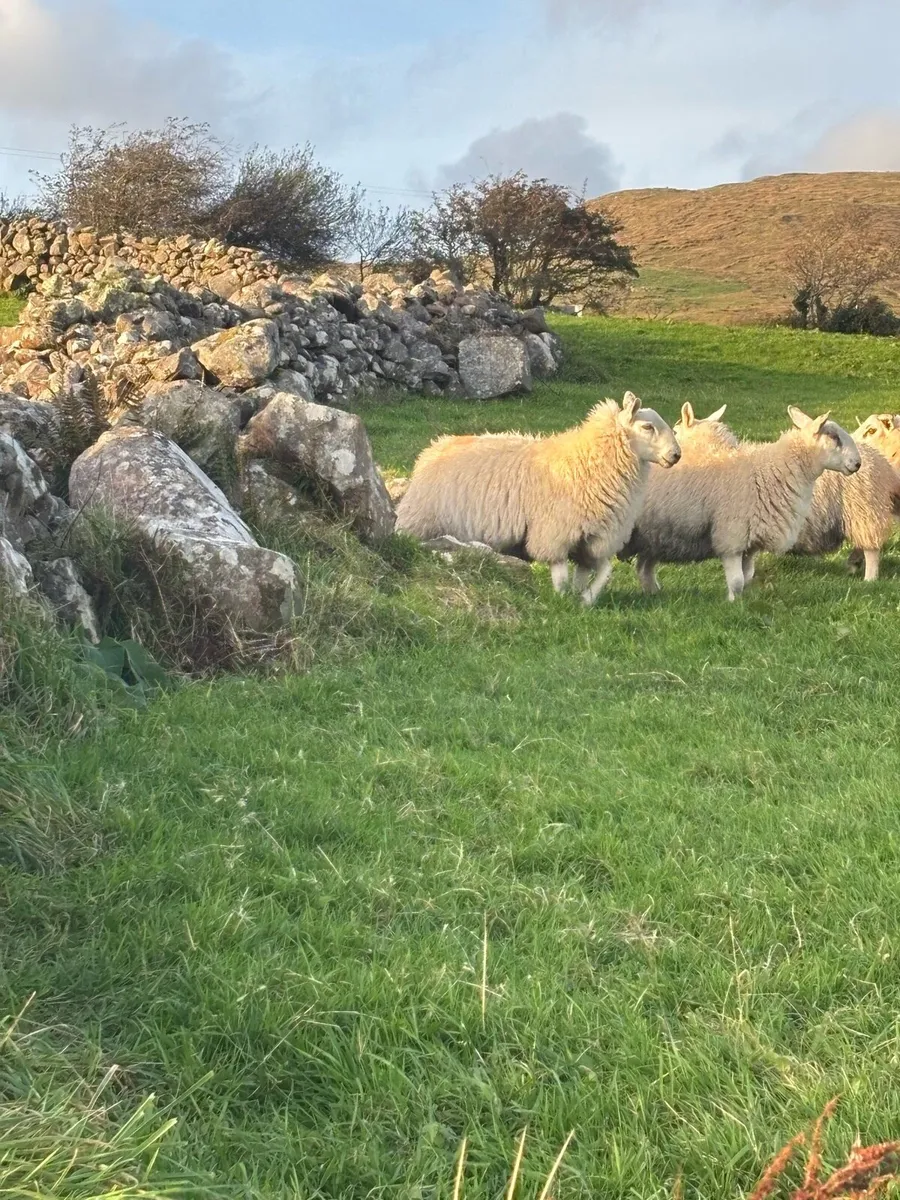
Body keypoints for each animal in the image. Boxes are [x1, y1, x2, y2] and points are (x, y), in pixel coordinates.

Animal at [395, 391, 682, 606]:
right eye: (647, 427)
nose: (676, 455)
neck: (588, 460)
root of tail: (435, 446)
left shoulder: (594, 538)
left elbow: (599, 571)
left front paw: (585, 599)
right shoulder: (555, 531)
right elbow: (561, 573)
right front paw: (562, 599)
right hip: (420, 520)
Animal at [619, 406, 861, 600]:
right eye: (834, 437)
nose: (857, 463)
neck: (772, 469)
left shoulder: (750, 542)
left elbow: (747, 577)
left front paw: (742, 601)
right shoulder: (731, 536)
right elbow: (736, 581)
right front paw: (732, 603)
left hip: (652, 535)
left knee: (644, 568)